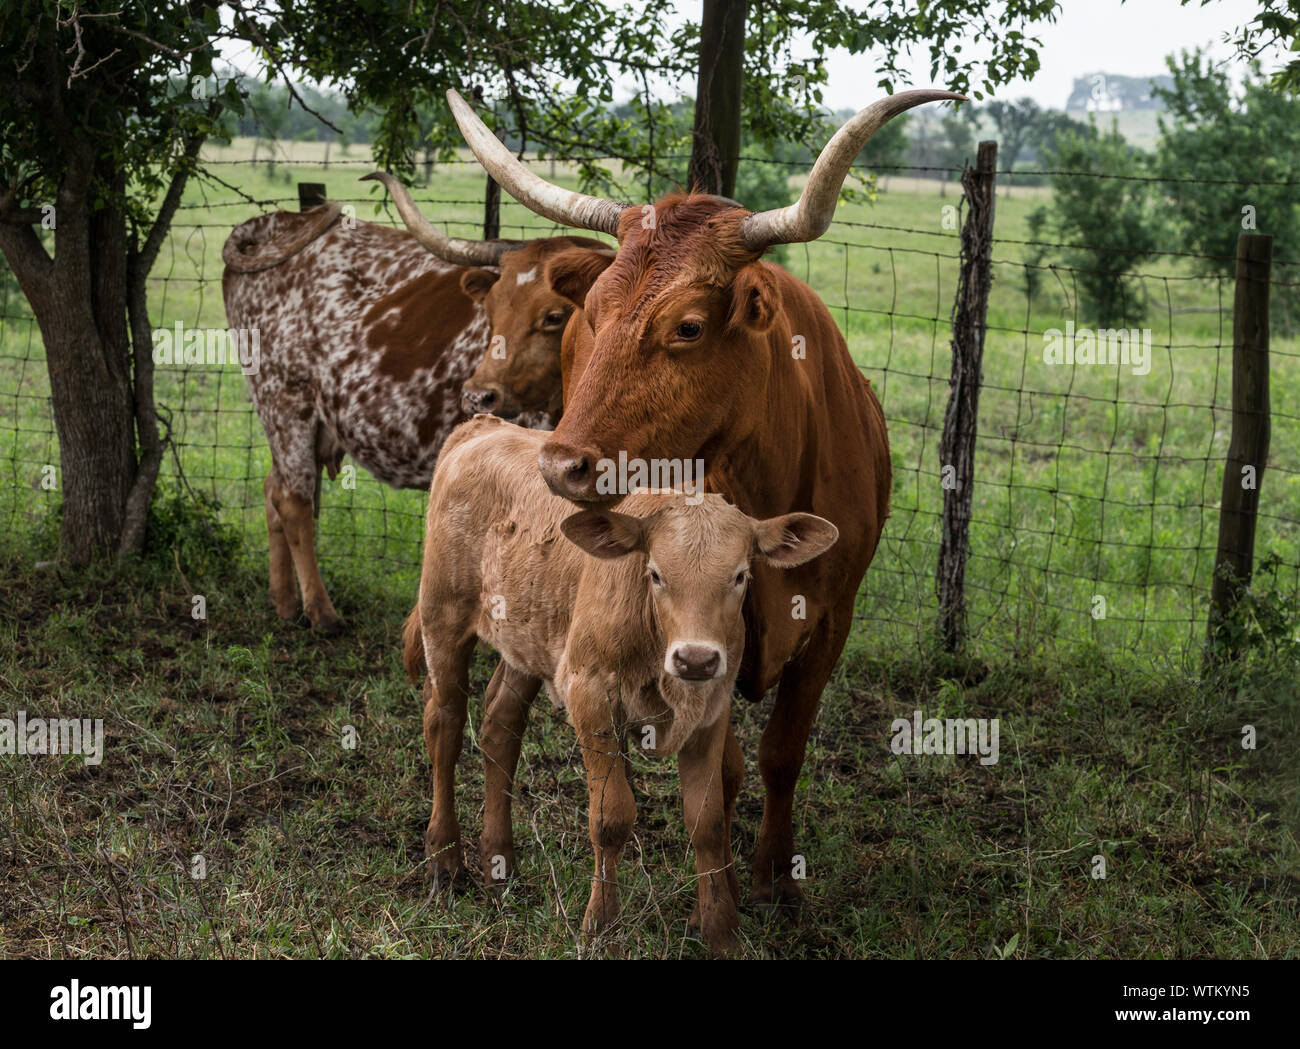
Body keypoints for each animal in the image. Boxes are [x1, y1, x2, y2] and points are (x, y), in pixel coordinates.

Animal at [400, 413, 837, 956]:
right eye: (655, 573)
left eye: (740, 576)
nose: (696, 658)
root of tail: (484, 425)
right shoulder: (590, 692)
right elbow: (611, 816)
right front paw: (601, 925)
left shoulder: (711, 710)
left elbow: (708, 821)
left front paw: (721, 933)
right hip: (443, 617)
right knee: (445, 727)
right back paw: (445, 860)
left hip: (529, 639)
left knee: (501, 724)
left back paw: (500, 862)